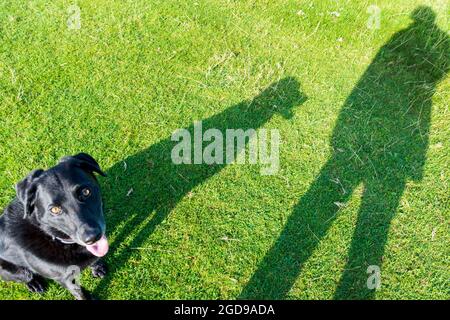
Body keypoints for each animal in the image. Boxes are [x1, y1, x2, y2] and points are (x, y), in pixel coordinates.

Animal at [0, 154, 109, 298]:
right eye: (55, 210)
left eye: (86, 192)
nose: (92, 237)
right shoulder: (66, 279)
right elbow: (81, 293)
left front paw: (97, 266)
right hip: (16, 271)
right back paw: (34, 284)